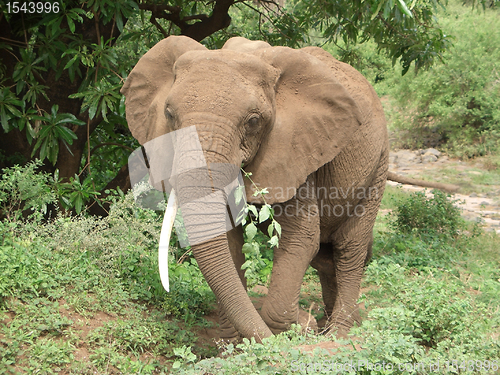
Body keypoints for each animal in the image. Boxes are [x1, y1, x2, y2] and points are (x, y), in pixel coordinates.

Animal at [119, 36, 392, 344]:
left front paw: (286, 334)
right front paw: (233, 345)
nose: (306, 321)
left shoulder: (295, 152)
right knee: (325, 258)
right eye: (168, 114)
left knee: (349, 248)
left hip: (378, 165)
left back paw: (340, 334)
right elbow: (227, 242)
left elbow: (300, 238)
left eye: (252, 121)